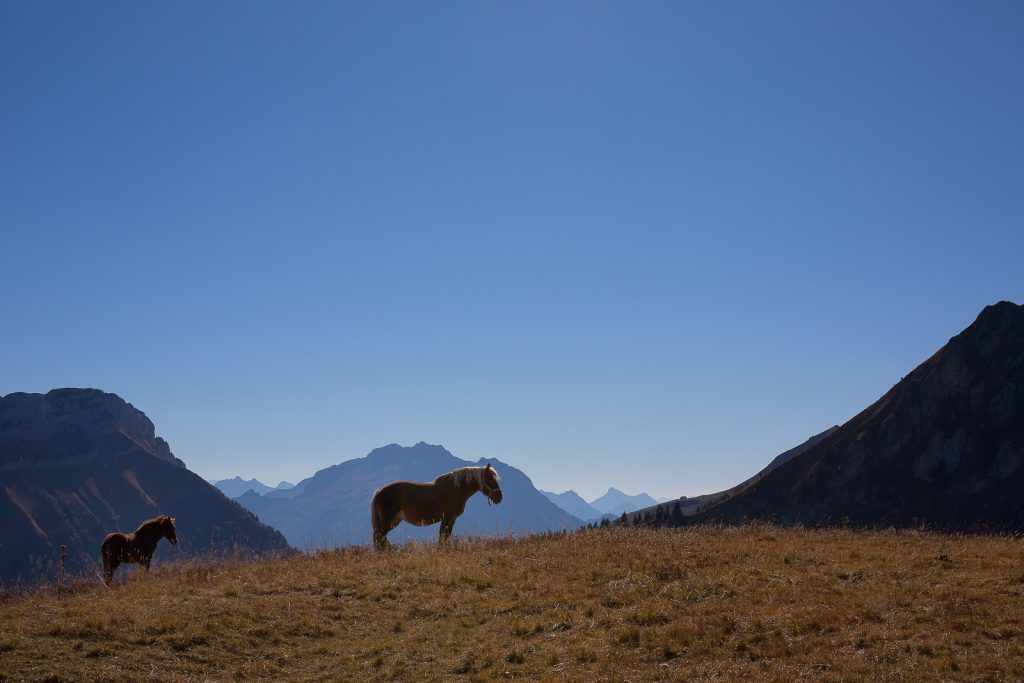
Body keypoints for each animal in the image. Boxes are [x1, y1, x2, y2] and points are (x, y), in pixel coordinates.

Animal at [374, 464, 505, 548]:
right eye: (490, 478)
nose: (499, 497)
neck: (455, 489)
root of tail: (379, 491)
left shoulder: (452, 519)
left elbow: (446, 536)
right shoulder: (446, 518)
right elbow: (443, 537)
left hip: (394, 521)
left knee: (380, 537)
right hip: (388, 520)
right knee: (380, 536)